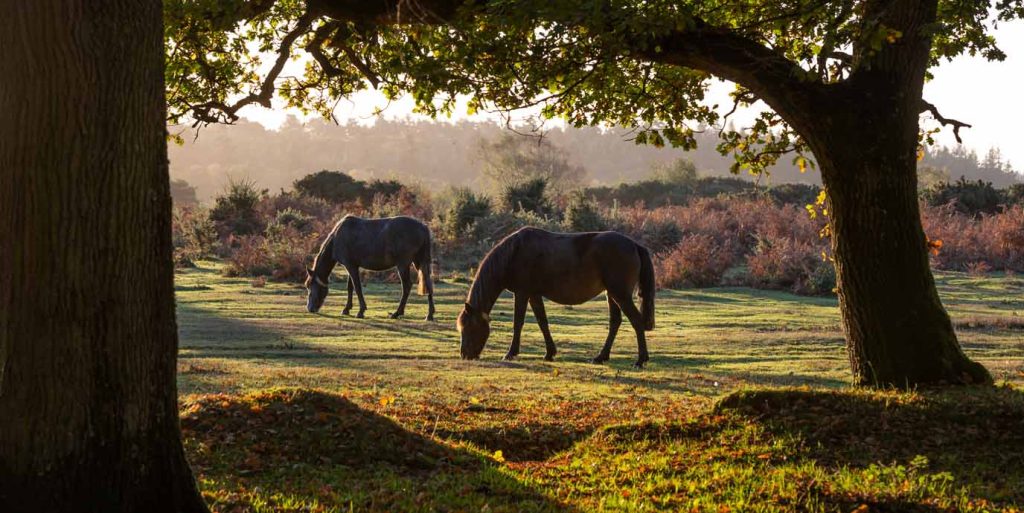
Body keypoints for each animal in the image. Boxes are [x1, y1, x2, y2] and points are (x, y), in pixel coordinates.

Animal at [305, 215, 435, 321]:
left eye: (310, 285)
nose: (310, 308)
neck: (337, 237)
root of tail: (423, 227)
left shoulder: (350, 266)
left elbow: (357, 287)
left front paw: (360, 311)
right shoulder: (353, 266)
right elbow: (350, 287)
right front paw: (346, 309)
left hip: (403, 265)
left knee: (407, 286)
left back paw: (397, 313)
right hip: (419, 262)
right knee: (428, 284)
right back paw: (429, 315)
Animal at [456, 227, 655, 367]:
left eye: (469, 328)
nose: (465, 355)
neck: (514, 253)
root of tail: (634, 245)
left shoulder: (522, 293)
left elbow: (518, 323)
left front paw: (511, 353)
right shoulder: (534, 294)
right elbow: (542, 322)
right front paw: (549, 353)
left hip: (620, 294)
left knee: (636, 321)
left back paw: (640, 360)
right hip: (611, 295)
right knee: (615, 322)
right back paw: (600, 357)